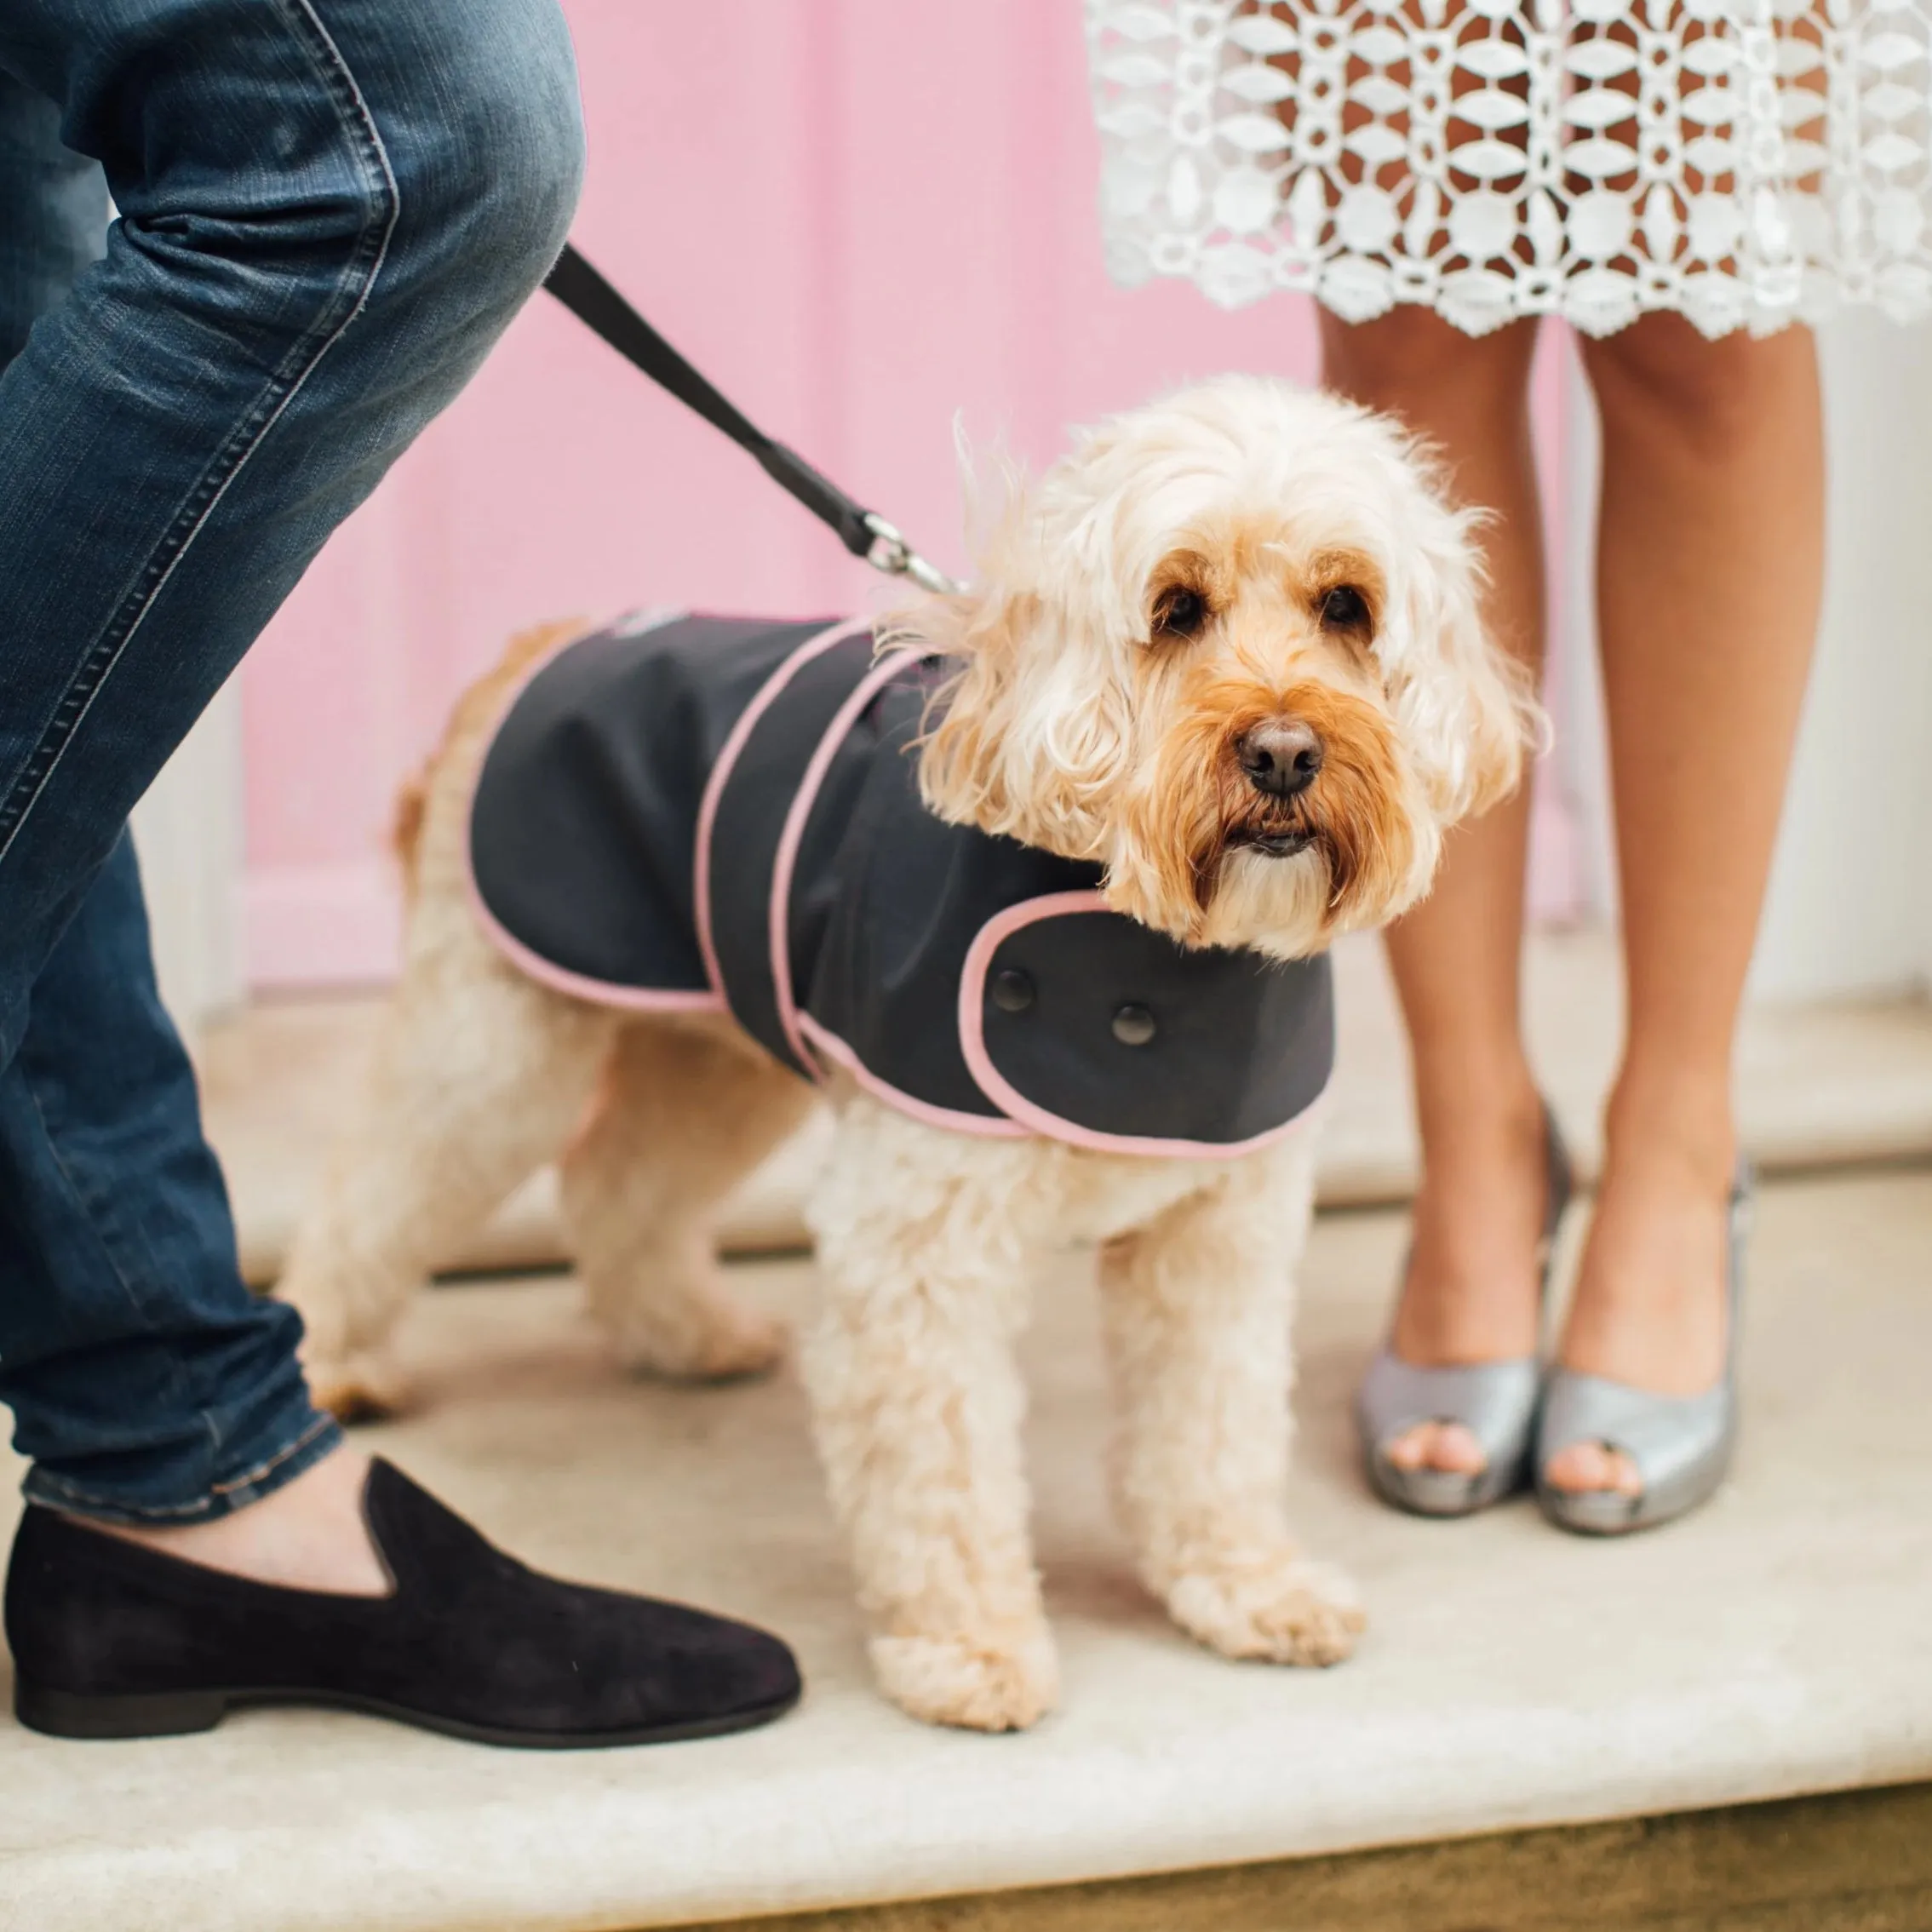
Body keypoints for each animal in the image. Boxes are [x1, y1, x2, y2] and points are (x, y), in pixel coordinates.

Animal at [276, 369, 1538, 1731]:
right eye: (1175, 607)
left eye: (1346, 604)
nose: (1286, 752)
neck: (1150, 943)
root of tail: (544, 645)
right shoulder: (921, 1247)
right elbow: (941, 1467)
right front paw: (967, 1647)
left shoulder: (1216, 1243)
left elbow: (1214, 1429)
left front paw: (1244, 1585)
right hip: (496, 1049)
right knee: (380, 1189)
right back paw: (325, 1361)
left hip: (719, 1056)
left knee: (616, 1181)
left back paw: (680, 1332)